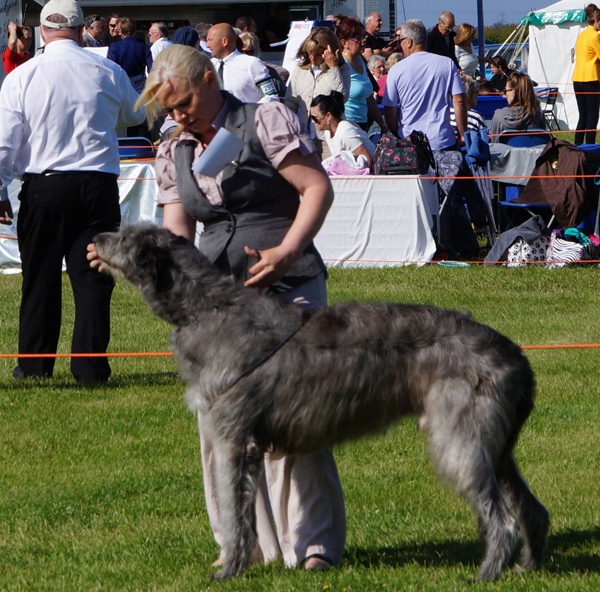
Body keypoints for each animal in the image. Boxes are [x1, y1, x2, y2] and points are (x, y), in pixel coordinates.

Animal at [94, 221, 548, 580]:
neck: (208, 309)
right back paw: (528, 566)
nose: (96, 237)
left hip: (460, 436)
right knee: (531, 507)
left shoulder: (232, 438)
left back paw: (486, 574)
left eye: (127, 236)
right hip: (496, 443)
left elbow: (235, 513)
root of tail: (515, 354)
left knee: (502, 518)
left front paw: (228, 571)